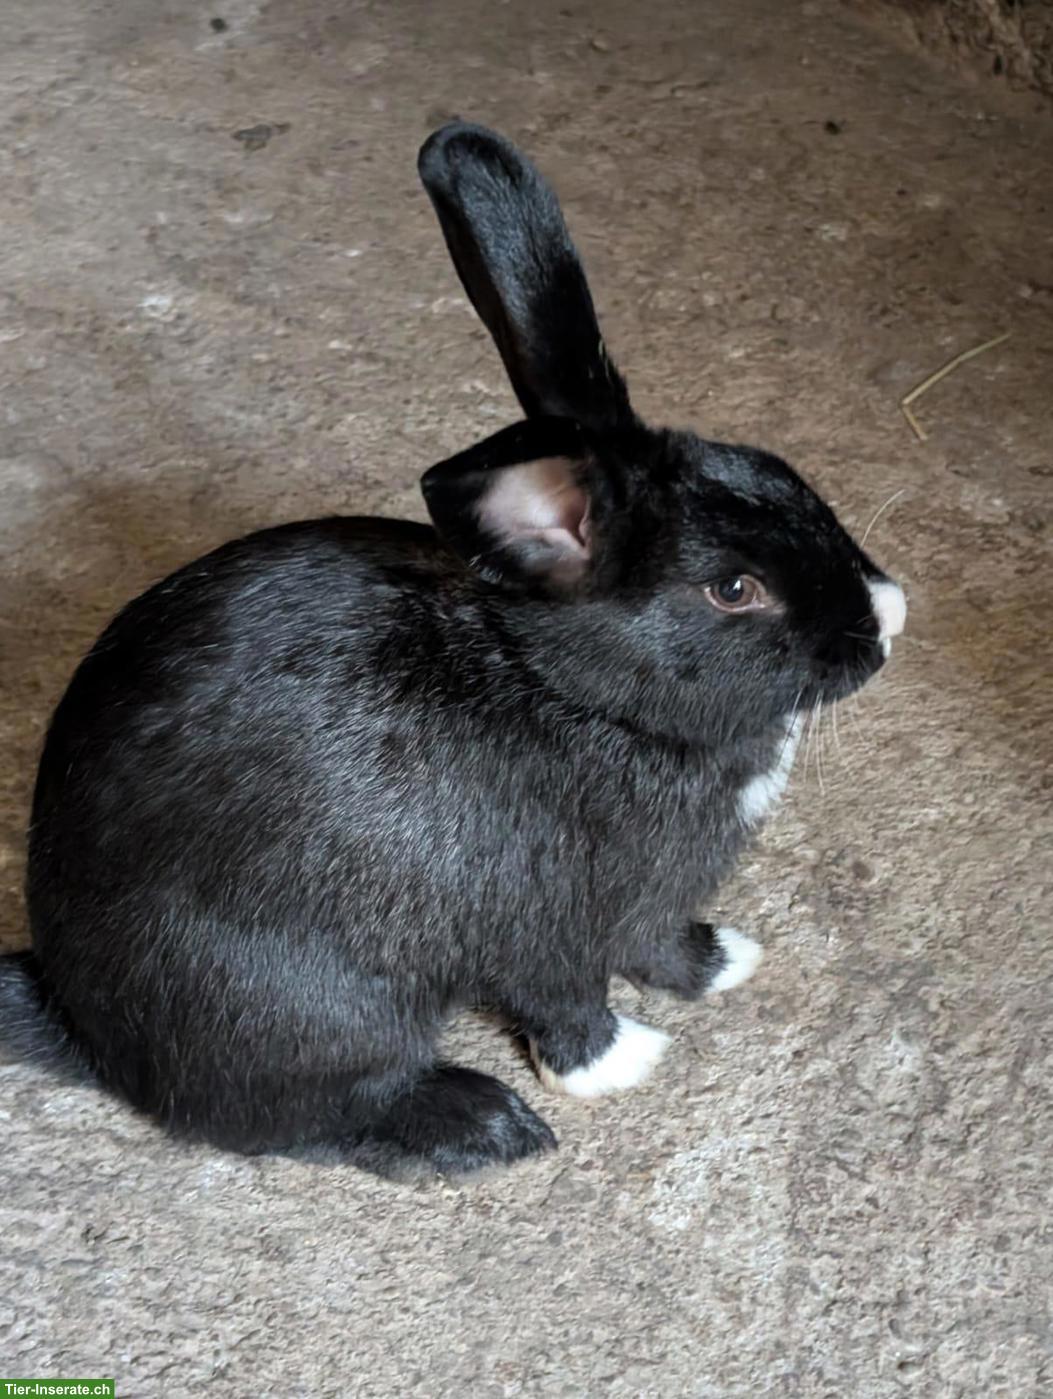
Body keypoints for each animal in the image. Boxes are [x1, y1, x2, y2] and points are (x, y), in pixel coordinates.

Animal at [0, 121, 906, 1180]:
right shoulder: (546, 930)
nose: (889, 616)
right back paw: (483, 1123)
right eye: (733, 589)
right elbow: (569, 1005)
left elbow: (660, 948)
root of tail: (82, 1022)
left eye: (775, 469)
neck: (579, 699)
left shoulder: (646, 907)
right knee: (308, 1115)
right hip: (313, 1011)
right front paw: (621, 1064)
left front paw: (726, 961)